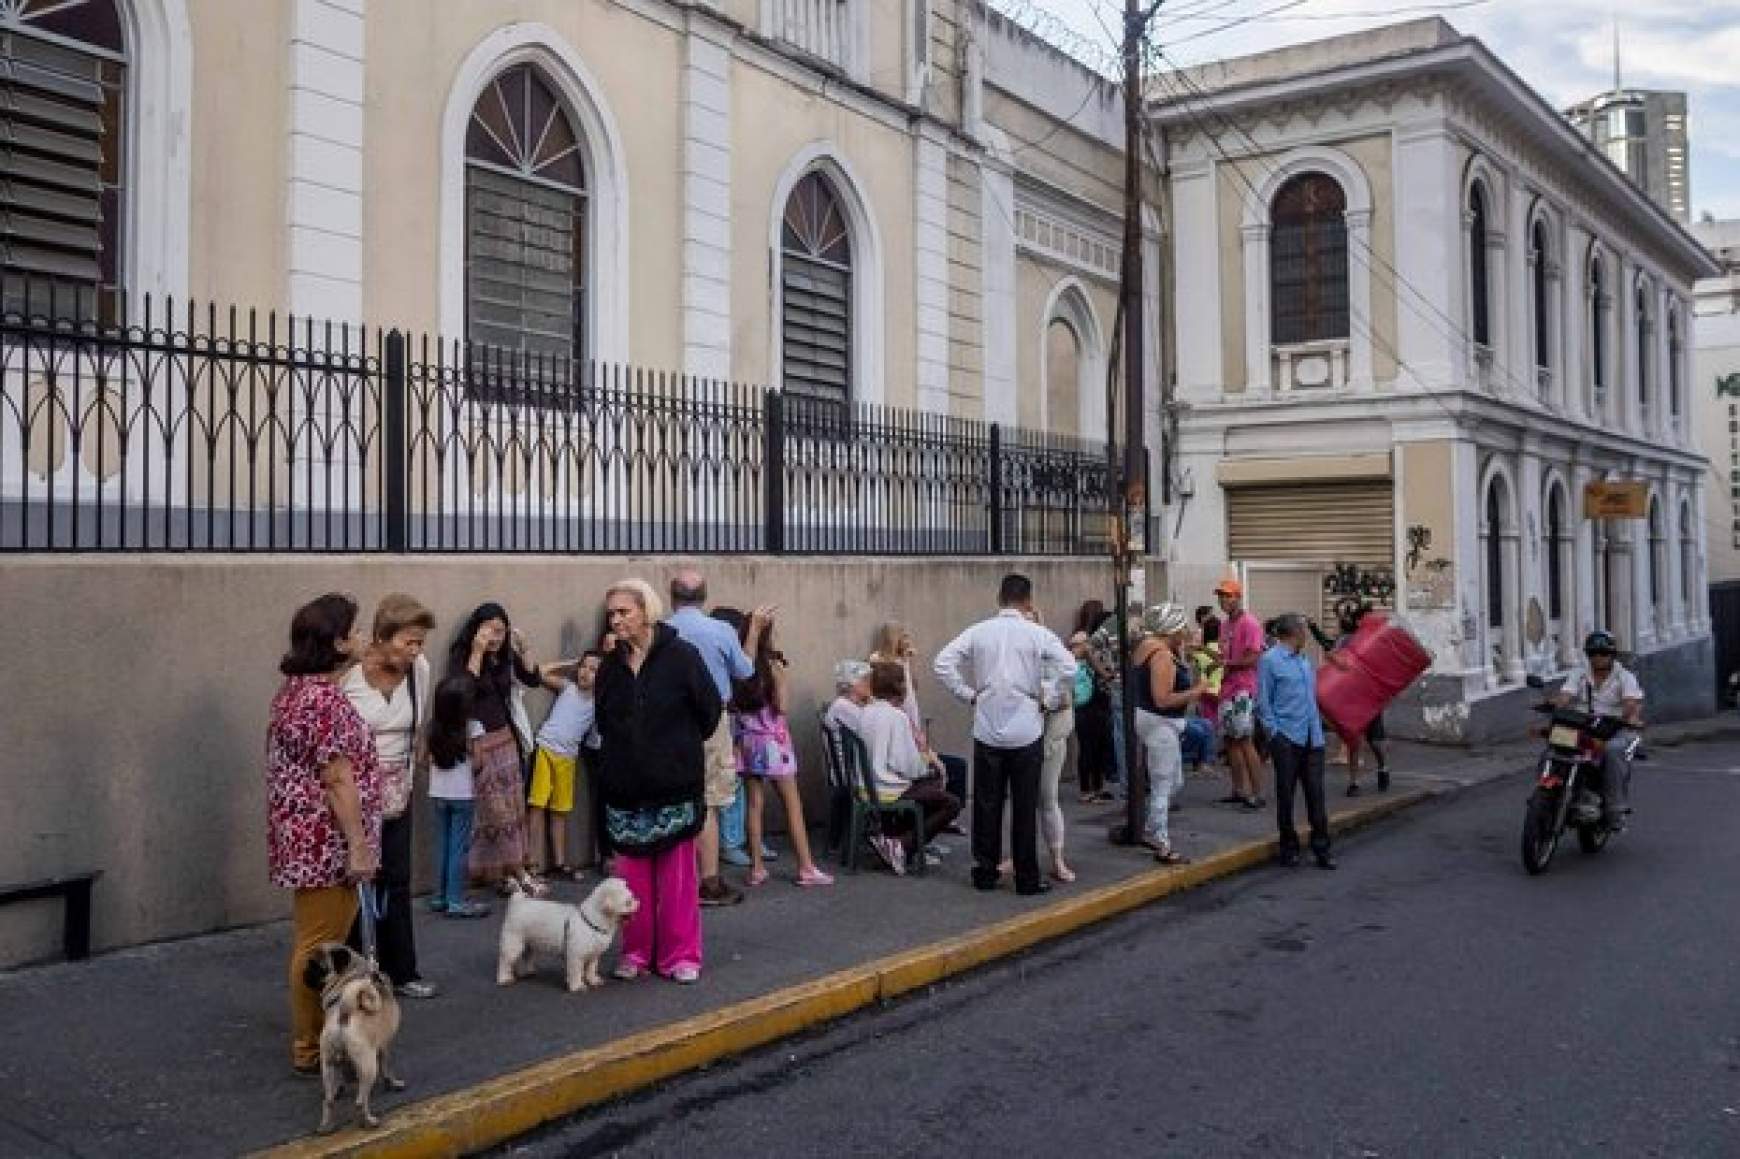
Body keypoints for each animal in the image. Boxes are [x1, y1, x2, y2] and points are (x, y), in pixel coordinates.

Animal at [304, 939, 405, 1127]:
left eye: (316, 967)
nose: (304, 973)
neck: (353, 974)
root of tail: (344, 1016)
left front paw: (341, 1087)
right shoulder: (385, 1045)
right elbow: (387, 1068)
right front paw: (393, 1083)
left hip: (328, 1064)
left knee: (328, 1100)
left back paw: (326, 1125)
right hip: (369, 1066)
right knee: (360, 1101)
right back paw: (369, 1121)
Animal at [497, 870, 640, 988]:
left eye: (632, 898)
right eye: (628, 902)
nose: (638, 903)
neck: (592, 920)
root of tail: (518, 903)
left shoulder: (593, 954)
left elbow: (591, 969)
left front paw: (593, 980)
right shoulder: (576, 955)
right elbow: (576, 971)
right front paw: (577, 986)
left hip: (528, 943)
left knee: (526, 956)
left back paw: (527, 972)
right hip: (513, 942)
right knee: (505, 961)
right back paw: (504, 978)